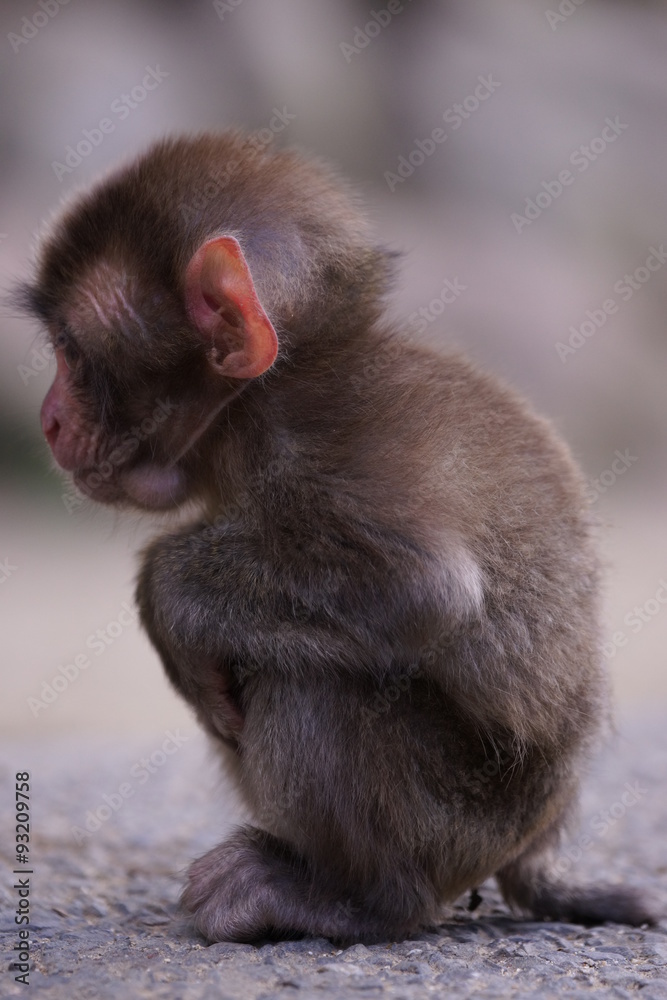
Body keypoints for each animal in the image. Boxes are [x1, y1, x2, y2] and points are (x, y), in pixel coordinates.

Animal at [19, 131, 657, 943]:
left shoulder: (322, 450)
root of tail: (534, 839)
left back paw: (357, 902)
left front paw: (165, 594)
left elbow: (421, 590)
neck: (270, 390)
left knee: (311, 681)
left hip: (457, 822)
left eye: (70, 349)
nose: (48, 420)